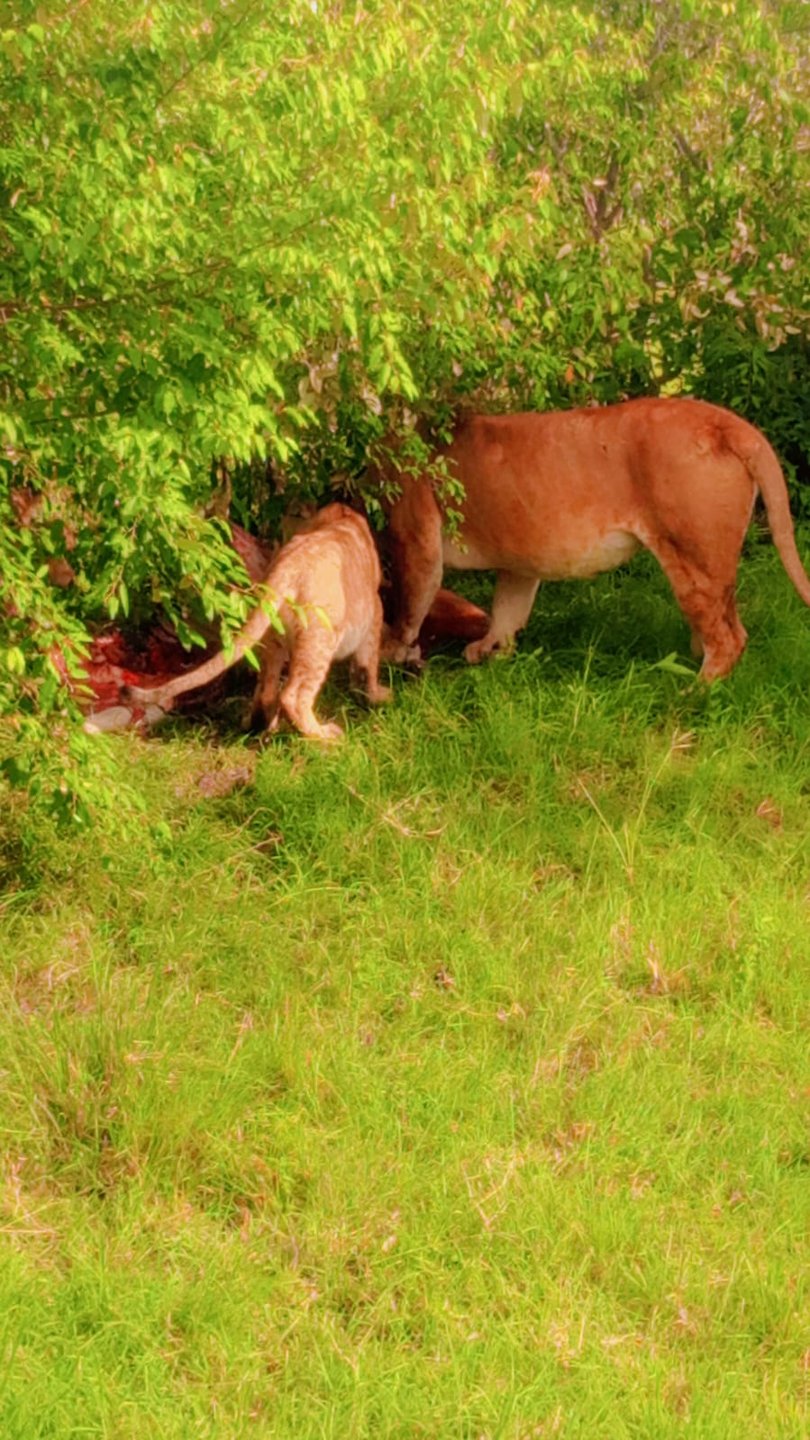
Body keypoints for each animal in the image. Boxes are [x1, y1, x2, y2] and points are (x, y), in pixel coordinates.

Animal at [124, 503, 390, 741]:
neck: (341, 517)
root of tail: (288, 567)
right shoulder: (375, 612)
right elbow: (369, 663)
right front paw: (377, 697)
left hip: (273, 636)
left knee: (266, 689)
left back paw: (259, 726)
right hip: (320, 637)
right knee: (292, 695)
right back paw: (323, 737)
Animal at [379, 397, 810, 680]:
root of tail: (735, 427)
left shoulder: (415, 536)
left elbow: (411, 605)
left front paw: (393, 652)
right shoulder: (520, 564)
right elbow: (507, 610)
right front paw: (492, 654)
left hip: (693, 557)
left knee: (728, 639)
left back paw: (690, 696)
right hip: (714, 563)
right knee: (727, 625)